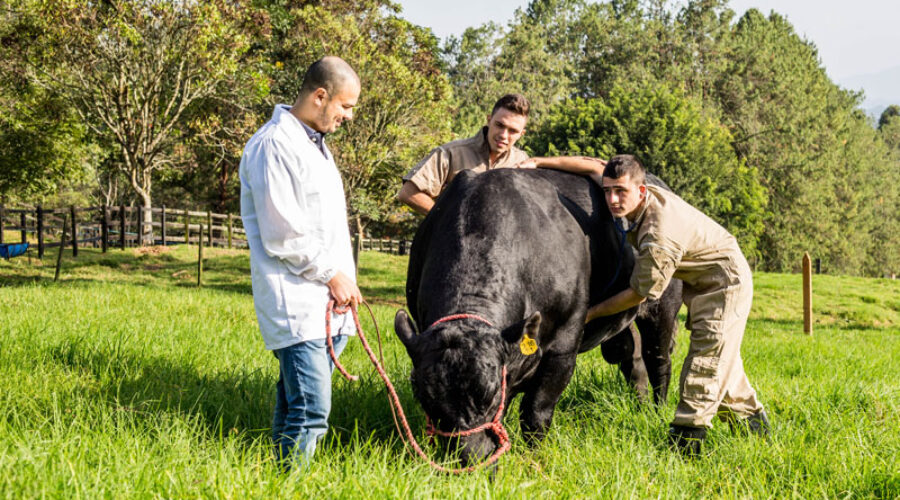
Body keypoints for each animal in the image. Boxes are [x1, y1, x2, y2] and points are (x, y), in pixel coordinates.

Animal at [394, 169, 684, 464]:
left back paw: (658, 410)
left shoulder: (563, 347)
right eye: (422, 395)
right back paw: (641, 404)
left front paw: (535, 457)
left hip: (663, 303)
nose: (470, 459)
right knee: (631, 358)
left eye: (491, 392)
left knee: (658, 359)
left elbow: (536, 410)